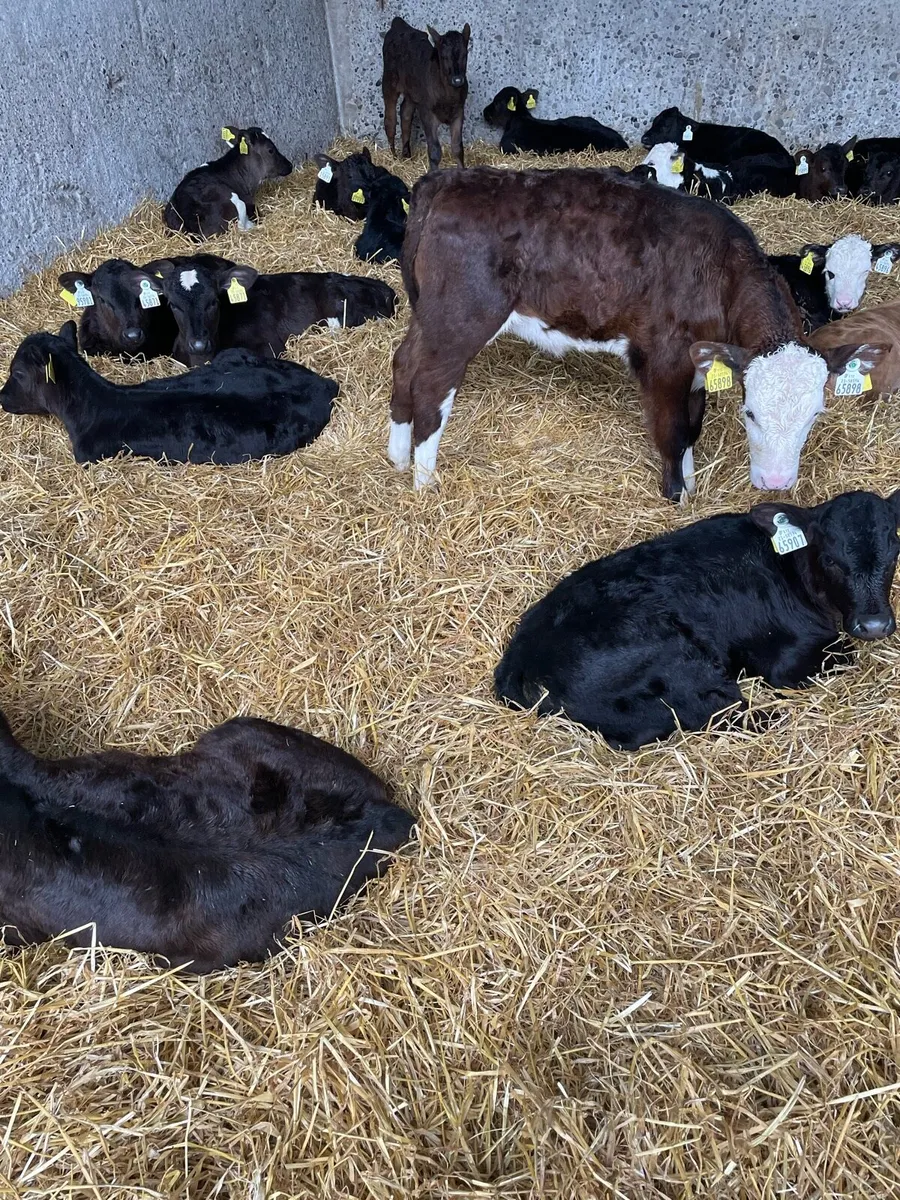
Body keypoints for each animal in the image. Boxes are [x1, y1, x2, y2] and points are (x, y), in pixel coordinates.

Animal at [382, 17, 470, 172]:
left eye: (464, 55)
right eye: (443, 56)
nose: (458, 80)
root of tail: (399, 23)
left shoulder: (459, 111)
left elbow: (457, 148)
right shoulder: (427, 112)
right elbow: (435, 150)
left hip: (412, 91)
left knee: (405, 113)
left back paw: (407, 155)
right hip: (389, 81)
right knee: (390, 120)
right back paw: (394, 157)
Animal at [388, 166, 883, 499]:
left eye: (815, 415)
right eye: (751, 414)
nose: (777, 483)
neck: (720, 272)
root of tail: (446, 179)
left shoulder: (699, 360)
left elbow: (693, 425)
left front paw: (691, 483)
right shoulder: (663, 358)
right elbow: (674, 430)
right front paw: (676, 495)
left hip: (430, 314)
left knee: (404, 364)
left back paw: (396, 460)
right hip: (461, 317)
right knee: (430, 384)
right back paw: (424, 481)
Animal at [495, 489, 900, 749]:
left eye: (895, 552)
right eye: (831, 559)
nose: (874, 625)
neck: (790, 570)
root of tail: (517, 660)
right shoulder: (783, 661)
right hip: (680, 661)